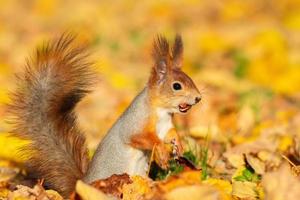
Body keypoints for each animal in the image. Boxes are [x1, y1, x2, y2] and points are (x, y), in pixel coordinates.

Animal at [8, 32, 202, 197]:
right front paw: (161, 151)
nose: (198, 98)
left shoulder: (166, 127)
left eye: (190, 79)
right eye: (176, 86)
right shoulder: (135, 123)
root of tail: (81, 186)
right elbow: (142, 138)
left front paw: (179, 144)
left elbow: (170, 134)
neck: (162, 112)